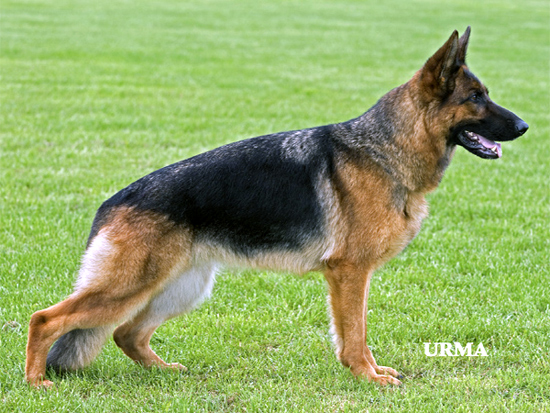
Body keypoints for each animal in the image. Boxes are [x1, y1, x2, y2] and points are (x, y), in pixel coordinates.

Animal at [26, 27, 528, 387]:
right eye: (476, 98)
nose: (524, 126)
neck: (386, 148)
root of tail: (113, 202)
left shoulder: (350, 276)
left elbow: (355, 335)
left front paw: (367, 373)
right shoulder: (350, 273)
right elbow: (356, 334)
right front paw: (367, 377)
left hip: (181, 287)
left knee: (126, 333)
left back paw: (163, 372)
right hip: (129, 286)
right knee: (46, 319)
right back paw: (37, 383)